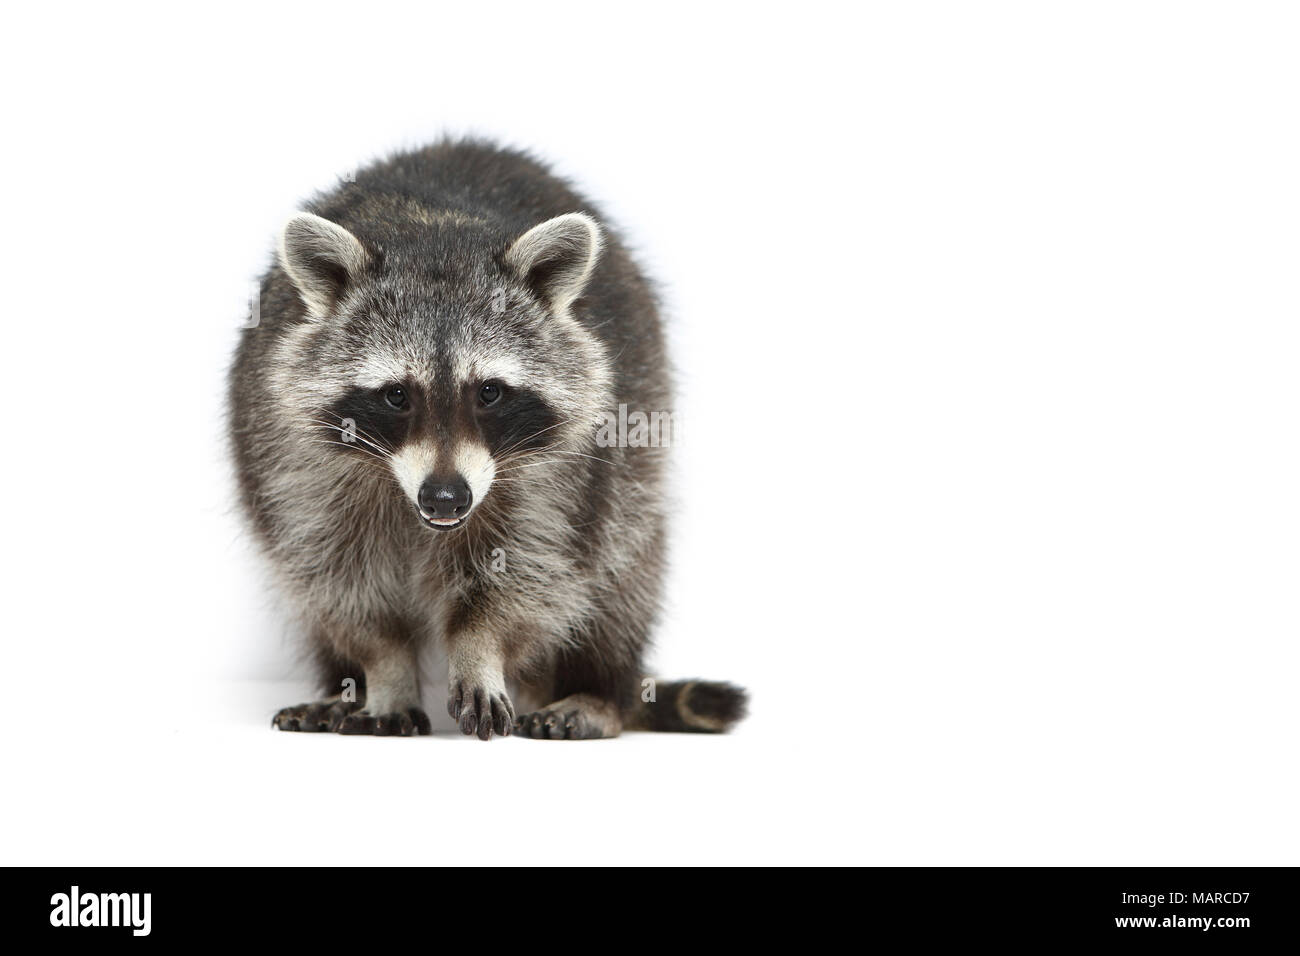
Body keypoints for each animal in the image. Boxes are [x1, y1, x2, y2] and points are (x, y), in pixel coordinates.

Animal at [228, 140, 748, 738]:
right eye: (396, 396)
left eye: (490, 393)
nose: (445, 498)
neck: (435, 229)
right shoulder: (295, 456)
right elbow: (337, 578)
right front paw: (384, 670)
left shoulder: (565, 470)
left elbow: (532, 567)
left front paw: (479, 647)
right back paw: (342, 687)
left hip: (628, 482)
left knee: (621, 575)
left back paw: (599, 690)